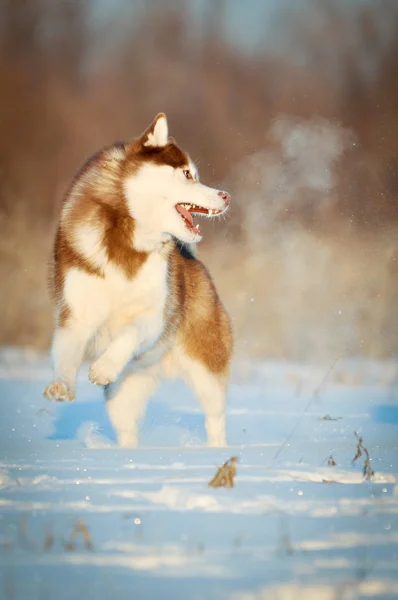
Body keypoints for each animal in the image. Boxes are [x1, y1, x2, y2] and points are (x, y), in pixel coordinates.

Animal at [43, 115, 232, 448]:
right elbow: (66, 350)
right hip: (125, 390)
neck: (129, 234)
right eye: (187, 174)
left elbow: (129, 332)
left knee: (215, 416)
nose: (226, 196)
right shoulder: (76, 312)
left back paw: (215, 452)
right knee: (127, 429)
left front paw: (104, 367)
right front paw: (62, 385)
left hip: (206, 366)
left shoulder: (155, 314)